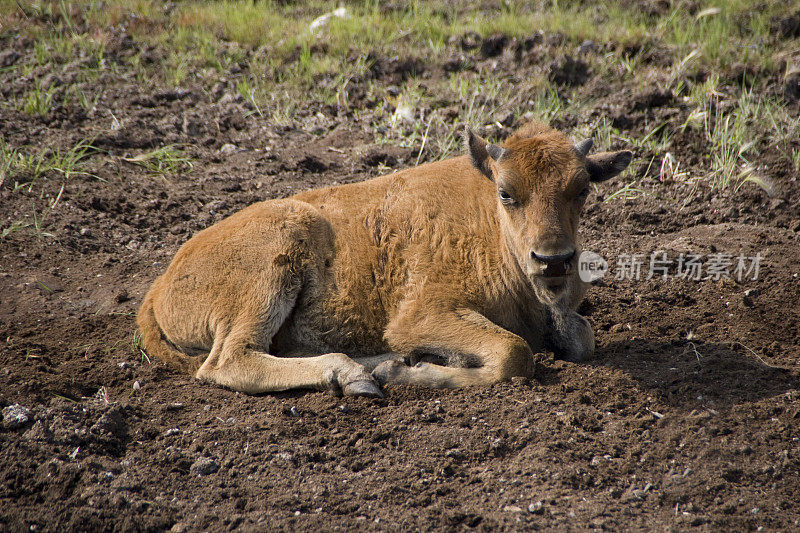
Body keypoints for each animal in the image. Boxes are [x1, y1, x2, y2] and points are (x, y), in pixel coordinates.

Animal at [141, 120, 636, 394]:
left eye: (583, 189)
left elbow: (581, 337)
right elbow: (514, 352)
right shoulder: (421, 314)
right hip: (275, 261)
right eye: (506, 192)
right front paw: (406, 373)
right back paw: (356, 375)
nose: (553, 260)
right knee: (230, 360)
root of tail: (161, 284)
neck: (491, 230)